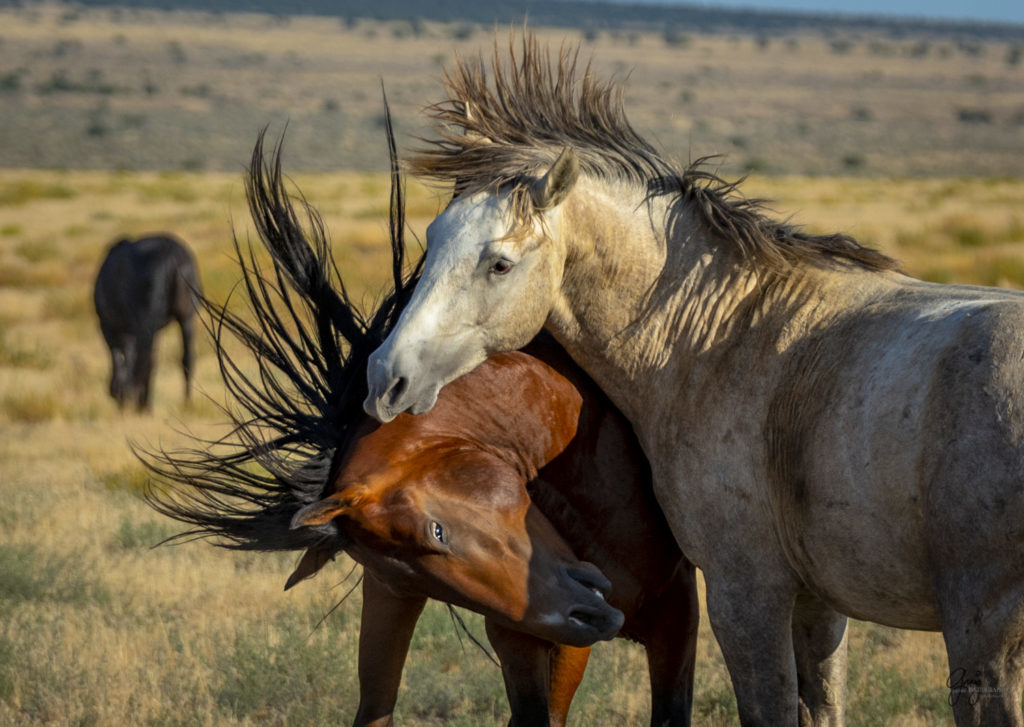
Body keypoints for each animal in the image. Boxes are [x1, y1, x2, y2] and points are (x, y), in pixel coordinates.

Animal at [95, 236, 200, 413]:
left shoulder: (112, 328)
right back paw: (186, 403)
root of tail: (172, 256)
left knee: (145, 361)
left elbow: (121, 358)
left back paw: (144, 406)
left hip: (145, 324)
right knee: (186, 359)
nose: (119, 401)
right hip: (185, 318)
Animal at [146, 127, 696, 724]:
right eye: (421, 573)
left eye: (437, 531)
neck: (585, 437)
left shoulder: (677, 612)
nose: (584, 617)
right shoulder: (520, 631)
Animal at [364, 39, 1024, 727]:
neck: (726, 337)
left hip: (981, 634)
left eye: (499, 263)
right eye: (432, 239)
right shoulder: (818, 604)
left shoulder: (744, 592)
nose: (385, 375)